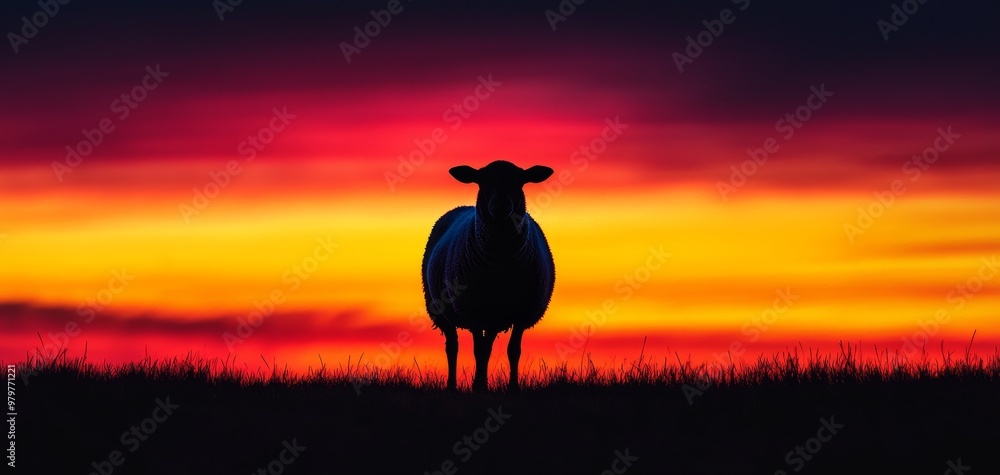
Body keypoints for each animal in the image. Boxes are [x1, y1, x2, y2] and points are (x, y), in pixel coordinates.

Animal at [422, 160, 556, 393]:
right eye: (482, 181)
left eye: (519, 181)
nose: (500, 206)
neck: (499, 265)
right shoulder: (473, 310)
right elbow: (478, 350)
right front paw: (478, 387)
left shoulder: (521, 313)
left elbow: (513, 351)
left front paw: (513, 388)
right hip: (439, 309)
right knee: (453, 346)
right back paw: (452, 386)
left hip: (494, 315)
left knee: (487, 345)